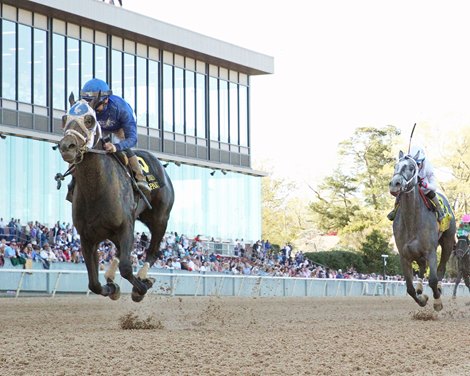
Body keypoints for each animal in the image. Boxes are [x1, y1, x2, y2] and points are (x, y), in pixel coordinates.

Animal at [390, 151, 456, 312]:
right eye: (395, 166)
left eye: (411, 167)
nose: (395, 184)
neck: (412, 221)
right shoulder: (404, 255)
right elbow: (409, 288)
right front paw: (422, 299)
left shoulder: (430, 251)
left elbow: (432, 280)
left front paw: (437, 302)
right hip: (416, 252)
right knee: (421, 267)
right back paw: (420, 288)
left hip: (447, 242)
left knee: (441, 268)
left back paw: (439, 288)